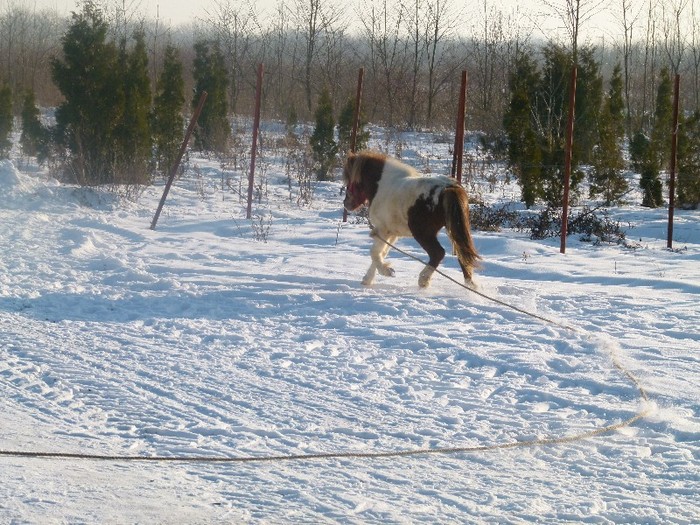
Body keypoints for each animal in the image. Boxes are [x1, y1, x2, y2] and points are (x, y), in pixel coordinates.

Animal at [344, 149, 482, 288]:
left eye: (350, 180)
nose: (346, 204)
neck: (381, 185)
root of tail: (448, 188)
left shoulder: (383, 230)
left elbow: (374, 253)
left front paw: (386, 271)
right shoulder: (392, 233)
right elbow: (381, 252)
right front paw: (368, 279)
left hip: (423, 233)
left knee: (438, 253)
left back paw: (423, 280)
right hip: (452, 230)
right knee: (462, 254)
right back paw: (470, 285)